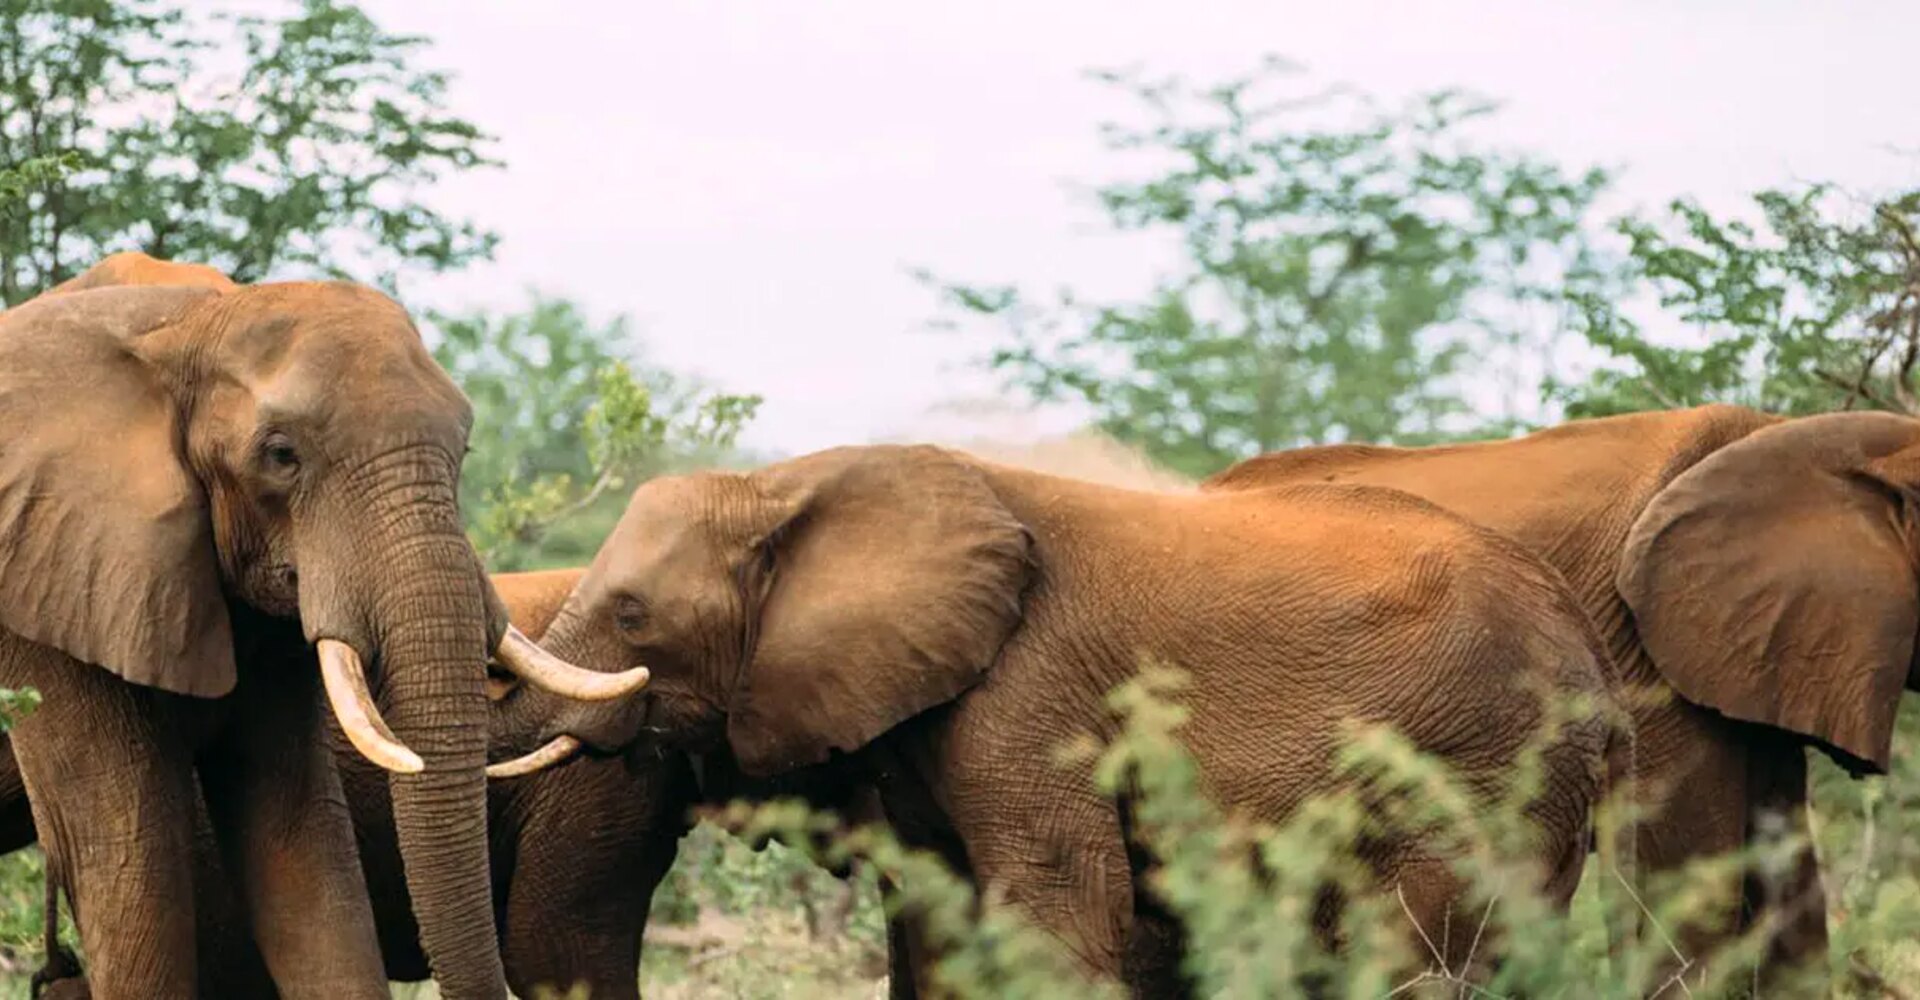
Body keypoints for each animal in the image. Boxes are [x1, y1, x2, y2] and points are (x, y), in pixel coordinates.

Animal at [0, 253, 641, 999]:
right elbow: (129, 858)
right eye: (281, 455)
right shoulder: (44, 589)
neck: (184, 320)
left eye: (465, 448)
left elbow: (299, 846)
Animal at [487, 443, 1618, 991]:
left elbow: (1057, 907)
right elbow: (938, 923)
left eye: (632, 613)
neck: (784, 483)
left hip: (1482, 763)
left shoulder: (1031, 691)